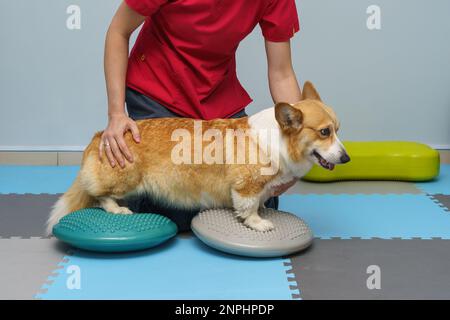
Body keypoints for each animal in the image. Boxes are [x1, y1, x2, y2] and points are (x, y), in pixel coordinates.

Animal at [46, 81, 348, 234]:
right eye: (324, 132)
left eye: (338, 129)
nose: (346, 158)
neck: (279, 140)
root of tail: (100, 136)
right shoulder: (246, 187)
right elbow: (248, 208)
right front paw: (258, 222)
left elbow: (260, 201)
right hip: (126, 179)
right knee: (100, 195)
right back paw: (118, 209)